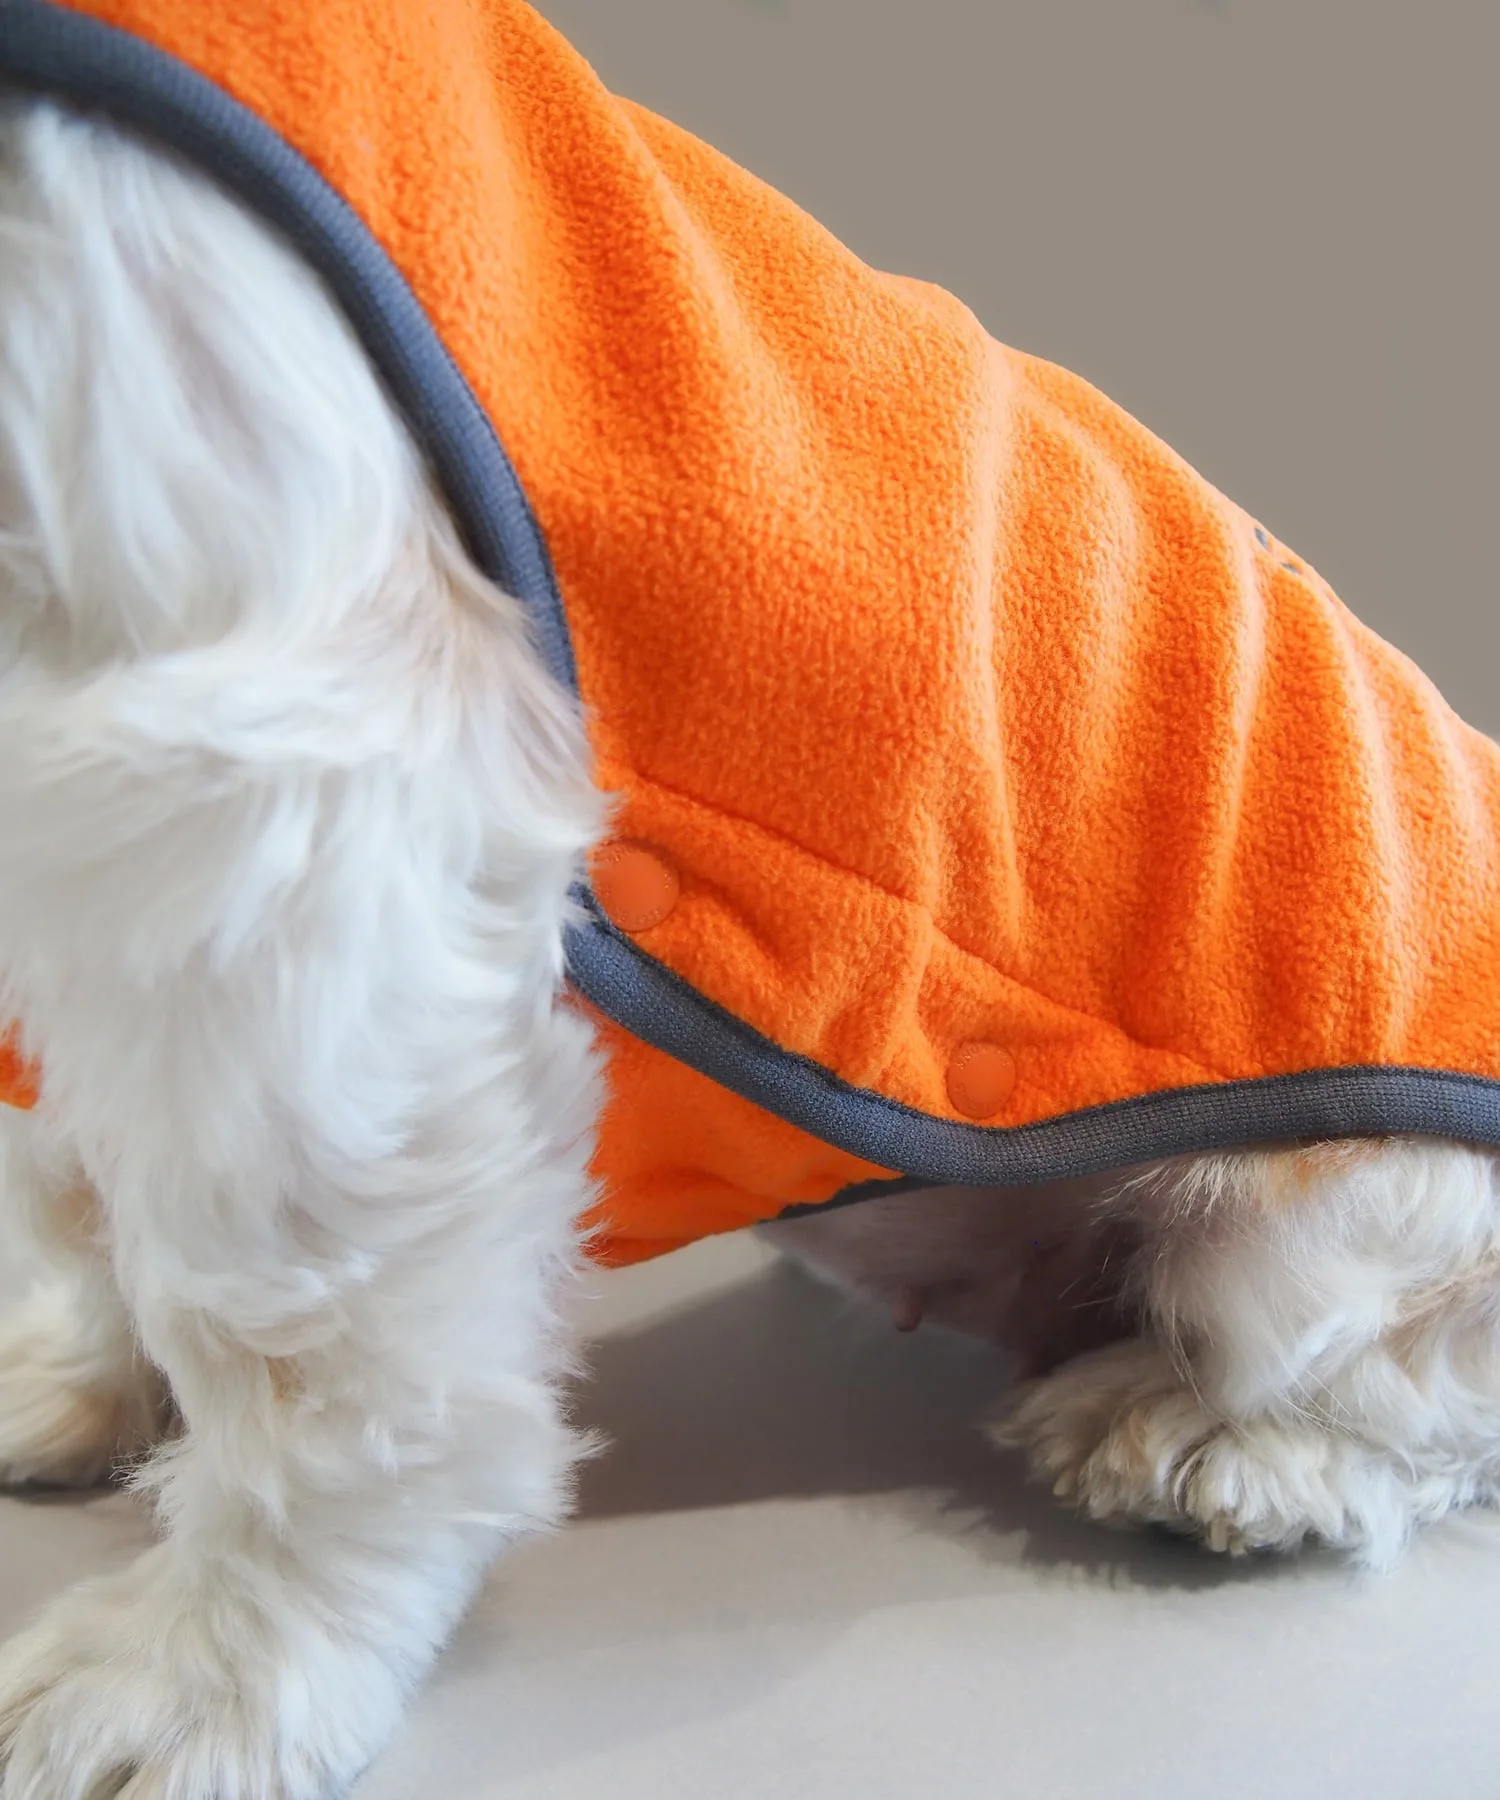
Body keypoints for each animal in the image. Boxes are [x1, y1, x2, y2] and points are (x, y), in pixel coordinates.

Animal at [3, 4, 1500, 1796]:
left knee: (1423, 1395)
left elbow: (286, 1299)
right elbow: (89, 1168)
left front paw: (218, 1662)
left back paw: (1230, 1440)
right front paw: (82, 1374)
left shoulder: (267, 771)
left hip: (1341, 1219)